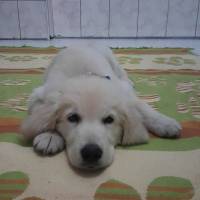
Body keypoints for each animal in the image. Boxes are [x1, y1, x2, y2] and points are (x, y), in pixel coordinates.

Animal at [21, 45, 181, 170]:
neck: (83, 74)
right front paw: (49, 135)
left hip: (112, 59)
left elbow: (142, 107)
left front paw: (166, 123)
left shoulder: (124, 94)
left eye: (109, 120)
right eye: (72, 118)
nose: (91, 153)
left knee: (123, 74)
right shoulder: (39, 95)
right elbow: (42, 112)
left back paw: (130, 81)